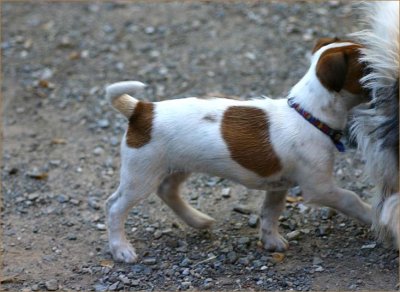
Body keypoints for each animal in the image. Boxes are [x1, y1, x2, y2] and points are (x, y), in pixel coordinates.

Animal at [104, 38, 370, 262]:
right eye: (367, 67)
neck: (308, 114)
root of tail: (142, 110)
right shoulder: (319, 188)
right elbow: (351, 198)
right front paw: (373, 216)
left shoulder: (278, 186)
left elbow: (270, 213)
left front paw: (271, 241)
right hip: (141, 176)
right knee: (114, 207)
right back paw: (121, 249)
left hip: (178, 166)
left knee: (167, 190)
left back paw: (198, 220)